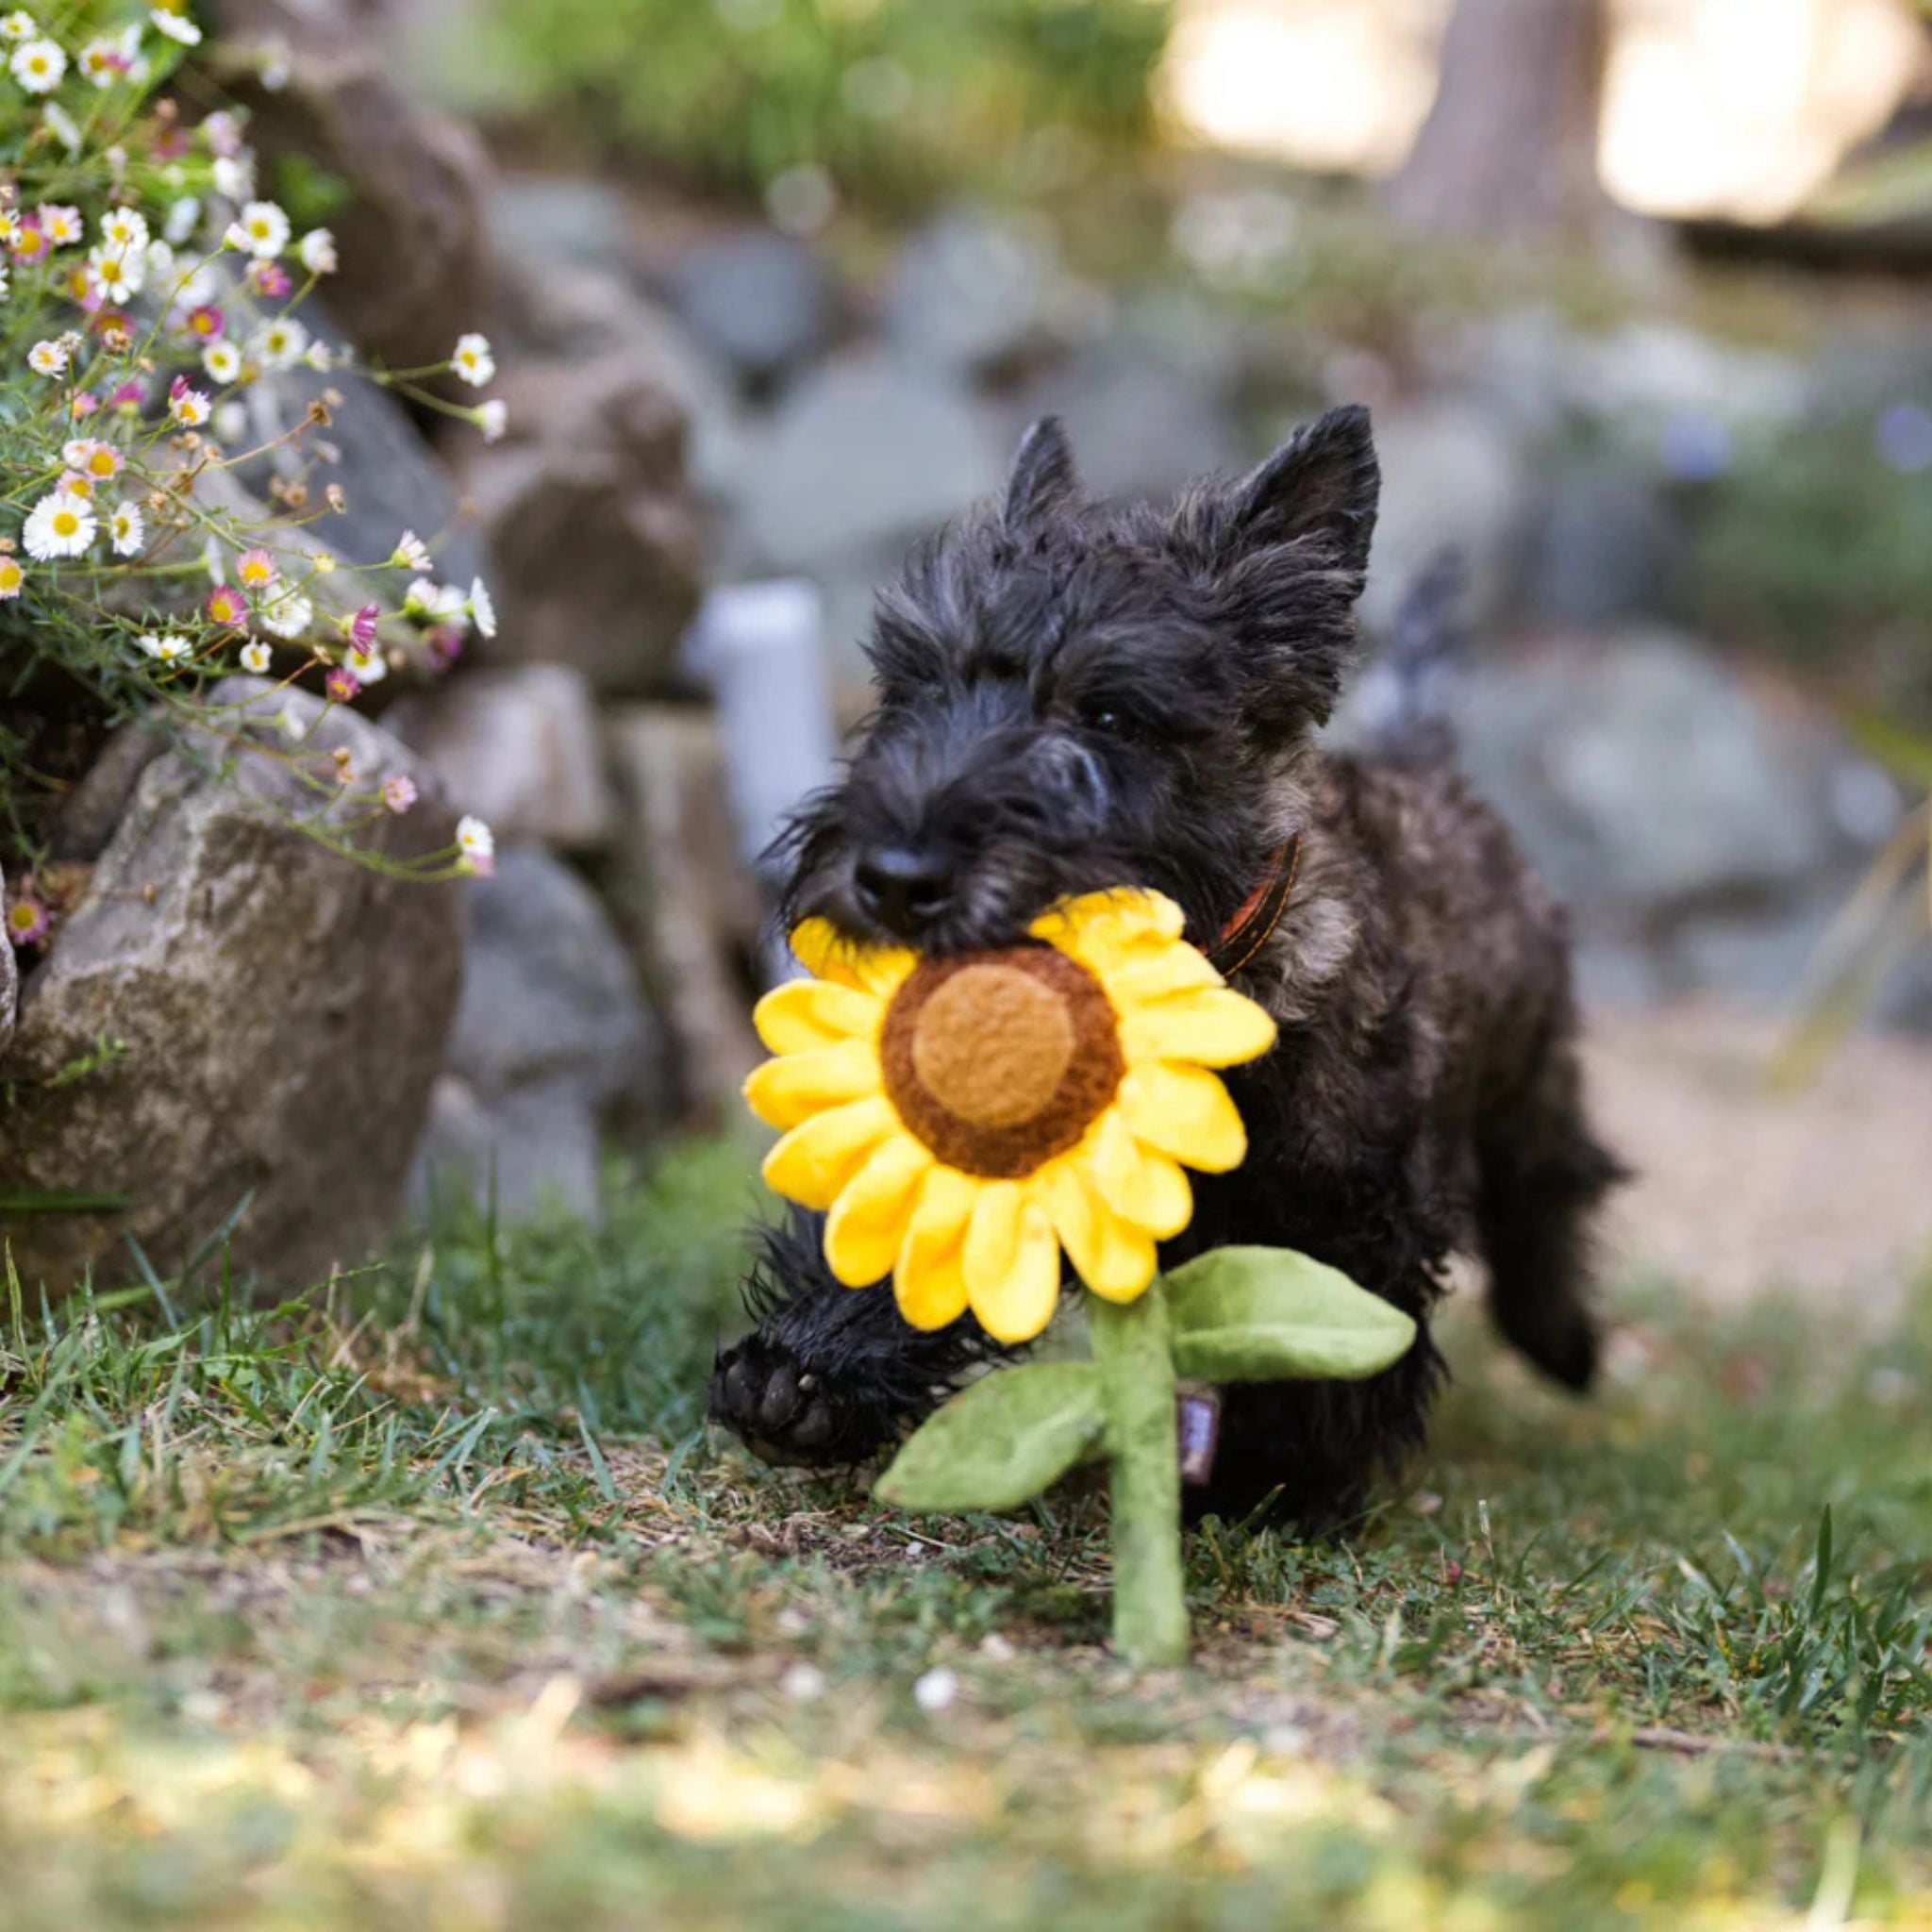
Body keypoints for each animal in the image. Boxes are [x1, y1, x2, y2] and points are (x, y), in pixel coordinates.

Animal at [710, 415, 1615, 1530]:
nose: (893, 877)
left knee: (1554, 1182)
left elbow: (1317, 1340)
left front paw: (1271, 1481)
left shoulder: (1353, 1210)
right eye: (918, 686)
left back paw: (1561, 1340)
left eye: (1108, 718)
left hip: (1531, 1069)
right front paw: (802, 1377)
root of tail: (1428, 761)